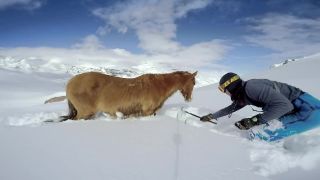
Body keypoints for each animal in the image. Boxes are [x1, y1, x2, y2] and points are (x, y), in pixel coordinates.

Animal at [59, 71, 195, 120]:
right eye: (193, 82)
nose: (189, 99)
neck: (159, 85)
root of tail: (70, 84)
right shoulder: (147, 111)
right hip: (85, 112)